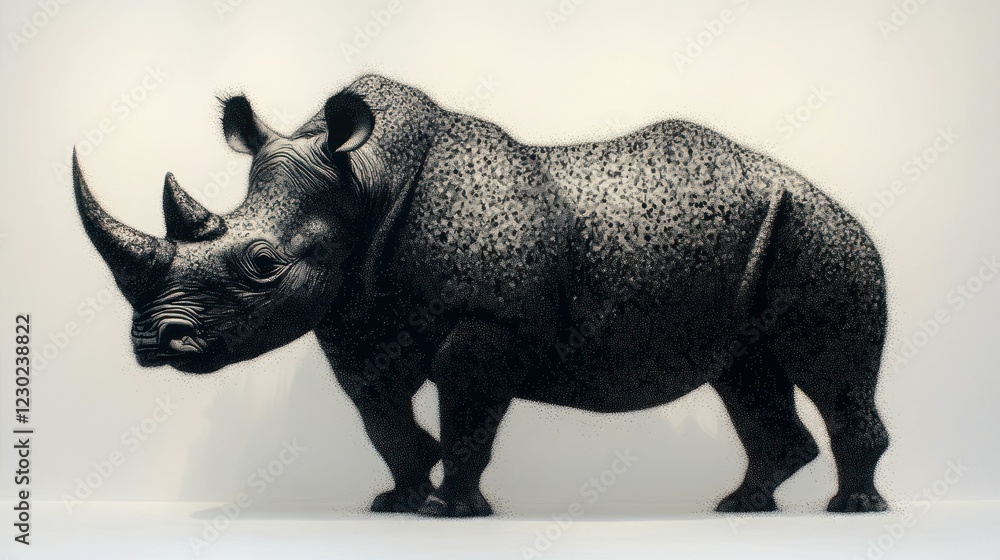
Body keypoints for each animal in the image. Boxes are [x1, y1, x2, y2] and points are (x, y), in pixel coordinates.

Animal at [73, 74, 889, 516]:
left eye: (262, 264)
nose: (156, 341)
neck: (361, 183)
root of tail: (829, 200)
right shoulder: (357, 316)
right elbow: (381, 415)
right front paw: (398, 503)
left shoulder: (490, 322)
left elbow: (466, 412)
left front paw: (450, 510)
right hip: (779, 242)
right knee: (744, 370)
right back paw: (741, 504)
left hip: (824, 238)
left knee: (825, 370)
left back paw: (849, 510)